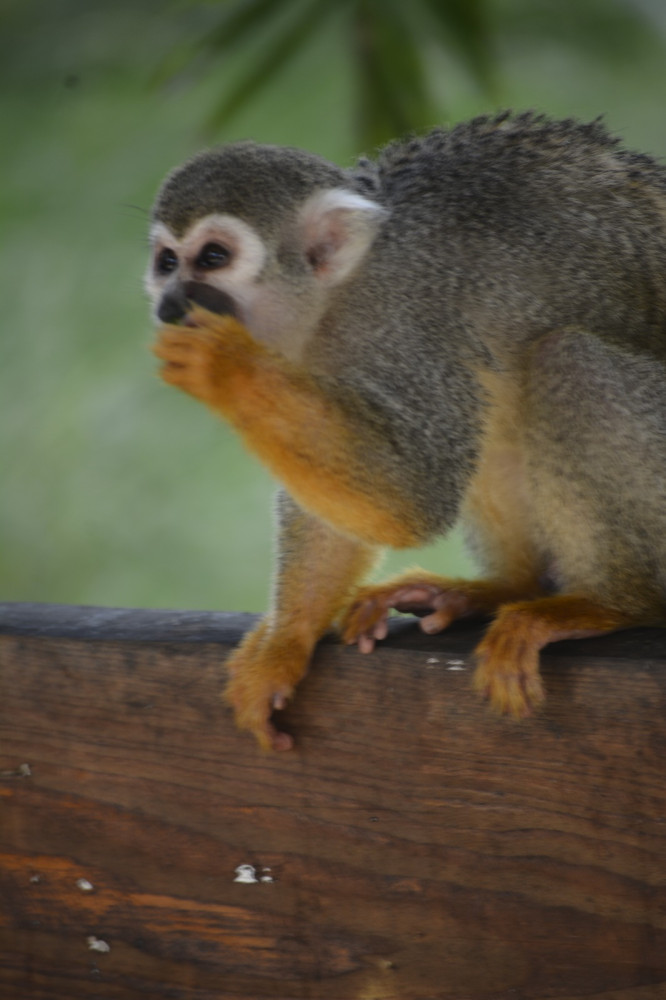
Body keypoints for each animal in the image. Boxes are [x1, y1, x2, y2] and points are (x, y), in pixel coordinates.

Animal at [146, 111, 666, 751]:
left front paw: (227, 368)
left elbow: (416, 497)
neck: (335, 299)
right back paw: (506, 587)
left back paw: (612, 603)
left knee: (563, 360)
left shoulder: (408, 325)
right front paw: (287, 641)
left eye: (213, 257)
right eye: (167, 262)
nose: (170, 305)